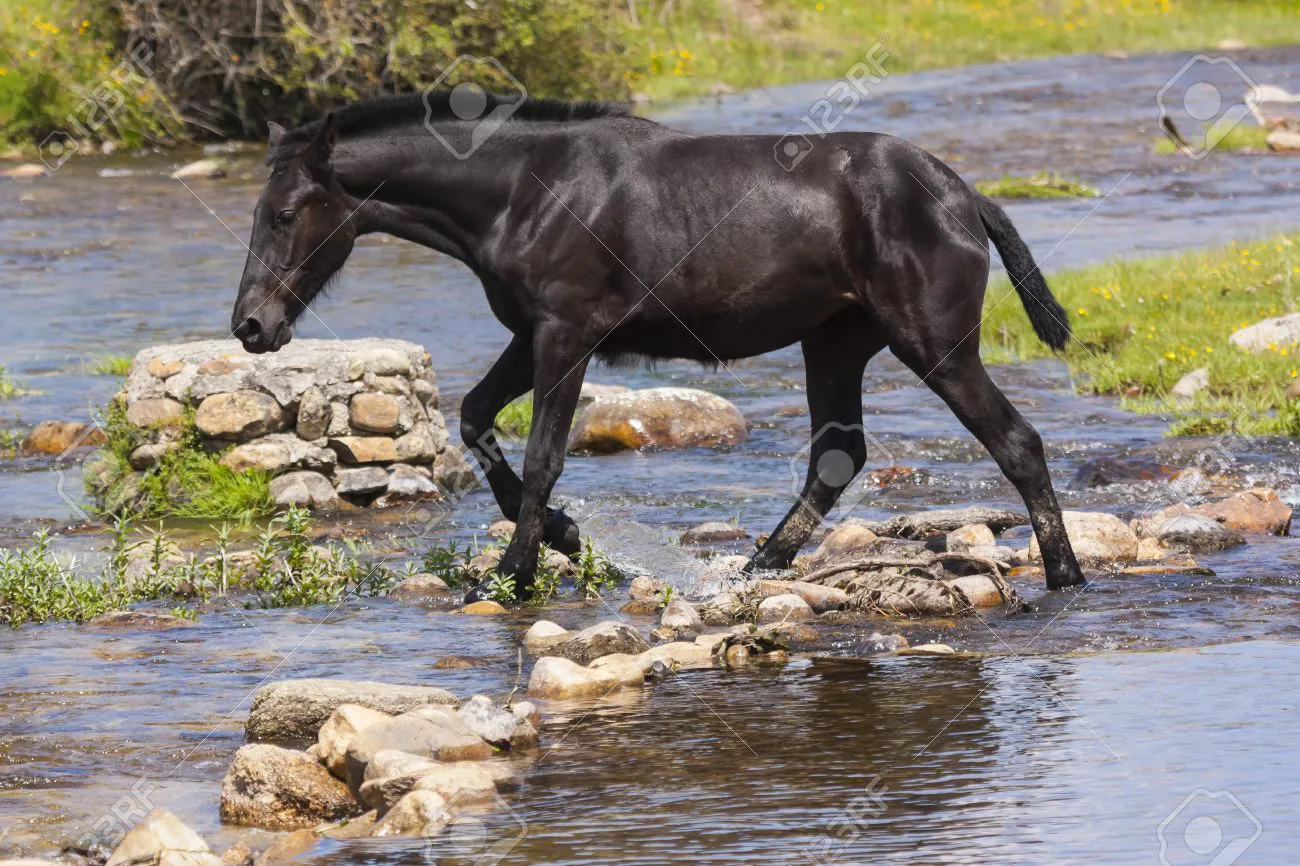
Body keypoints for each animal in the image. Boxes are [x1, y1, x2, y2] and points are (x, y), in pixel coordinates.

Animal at [230, 90, 1084, 600]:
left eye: (285, 212)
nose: (251, 327)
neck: (525, 191)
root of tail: (963, 194)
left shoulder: (565, 335)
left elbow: (543, 454)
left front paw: (512, 574)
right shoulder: (530, 335)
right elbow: (475, 418)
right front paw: (564, 538)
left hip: (935, 346)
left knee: (1016, 442)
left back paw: (1066, 575)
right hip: (835, 344)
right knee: (838, 457)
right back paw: (755, 567)